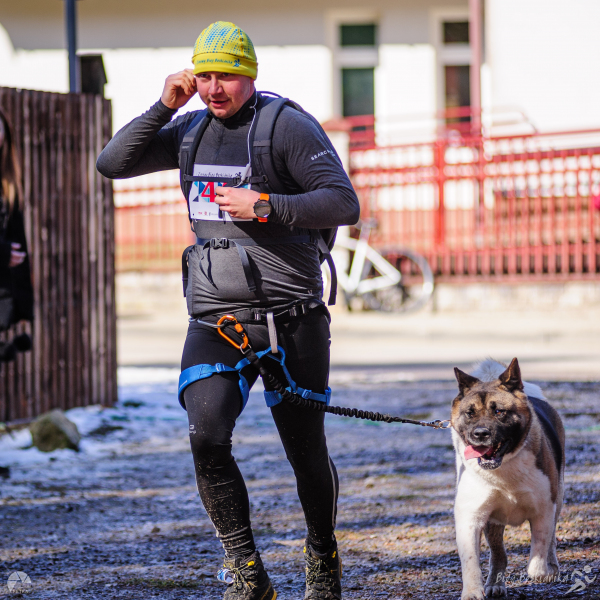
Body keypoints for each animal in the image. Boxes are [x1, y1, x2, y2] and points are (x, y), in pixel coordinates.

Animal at [451, 358, 565, 600]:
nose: (480, 434)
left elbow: (539, 554)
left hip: (558, 498)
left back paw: (551, 566)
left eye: (499, 411)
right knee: (498, 554)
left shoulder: (543, 509)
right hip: (493, 521)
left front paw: (542, 570)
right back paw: (495, 583)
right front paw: (472, 592)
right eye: (469, 413)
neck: (503, 467)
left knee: (551, 540)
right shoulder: (470, 517)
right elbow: (471, 561)